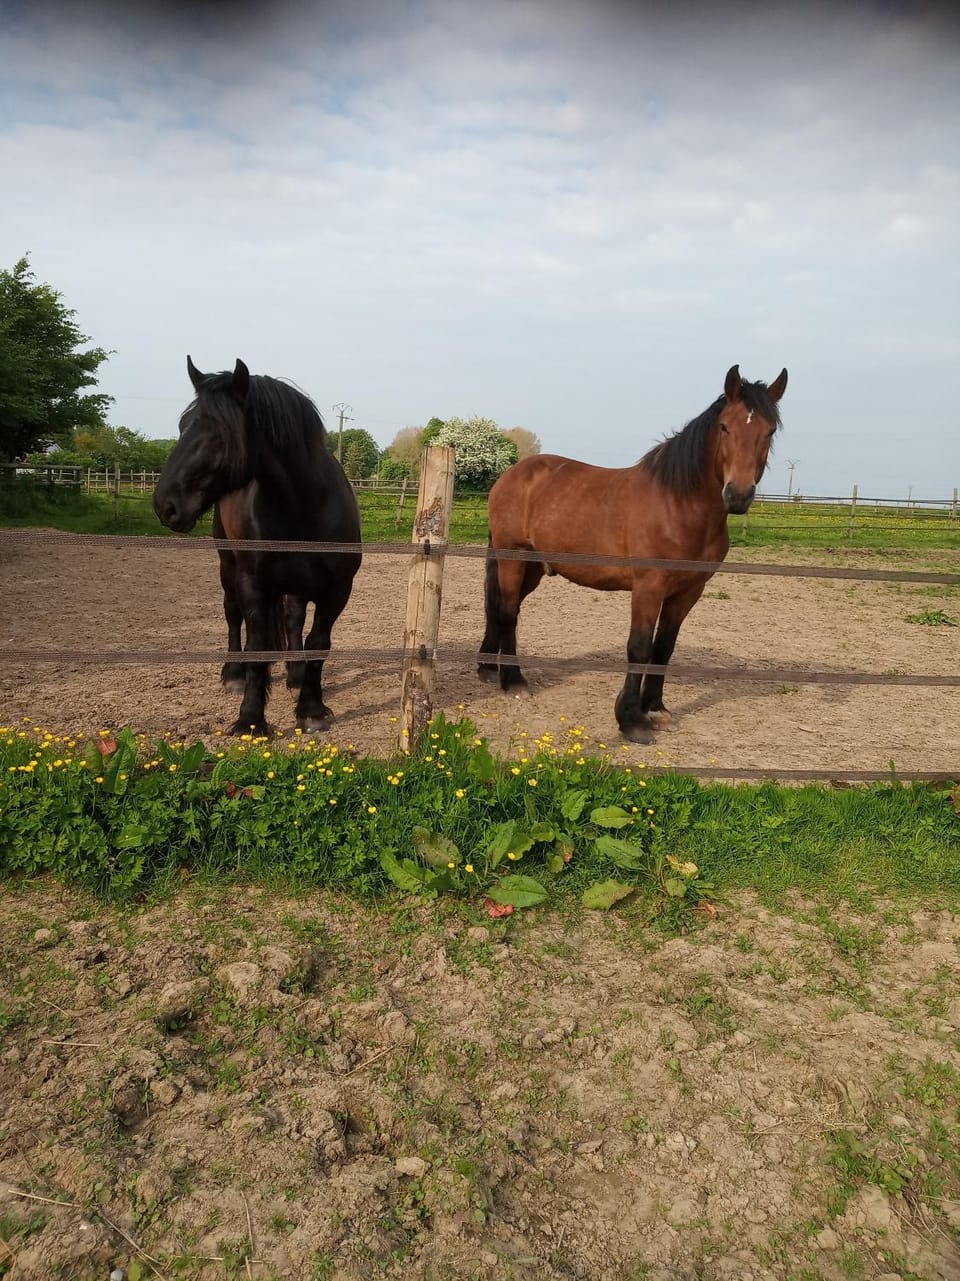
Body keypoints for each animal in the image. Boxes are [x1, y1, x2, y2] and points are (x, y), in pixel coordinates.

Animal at [153, 356, 362, 737]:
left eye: (218, 433)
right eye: (182, 426)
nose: (165, 505)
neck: (305, 505)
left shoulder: (338, 590)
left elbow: (317, 643)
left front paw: (311, 709)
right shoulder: (254, 584)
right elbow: (257, 645)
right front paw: (250, 718)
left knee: (293, 620)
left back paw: (295, 675)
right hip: (228, 566)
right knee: (233, 615)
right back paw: (234, 674)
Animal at [478, 364, 788, 743]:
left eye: (769, 431)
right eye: (725, 426)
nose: (738, 495)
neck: (679, 505)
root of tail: (511, 476)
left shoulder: (688, 591)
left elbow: (664, 647)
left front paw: (655, 709)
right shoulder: (648, 586)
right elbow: (639, 647)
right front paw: (631, 720)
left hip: (534, 567)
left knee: (502, 608)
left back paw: (489, 668)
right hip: (513, 557)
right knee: (507, 611)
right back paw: (514, 681)